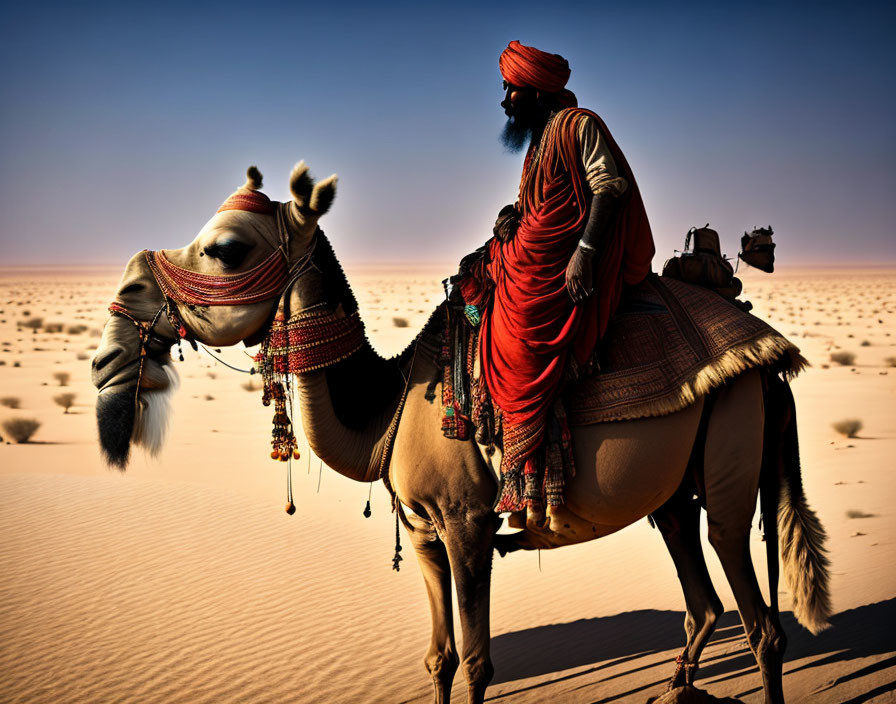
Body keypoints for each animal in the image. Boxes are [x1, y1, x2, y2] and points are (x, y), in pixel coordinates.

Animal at [93, 164, 832, 704]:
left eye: (226, 249)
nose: (125, 304)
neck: (390, 408)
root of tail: (772, 360)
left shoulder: (467, 522)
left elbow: (477, 660)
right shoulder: (424, 529)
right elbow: (440, 657)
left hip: (733, 450)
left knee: (762, 620)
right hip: (675, 492)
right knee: (702, 601)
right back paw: (677, 689)